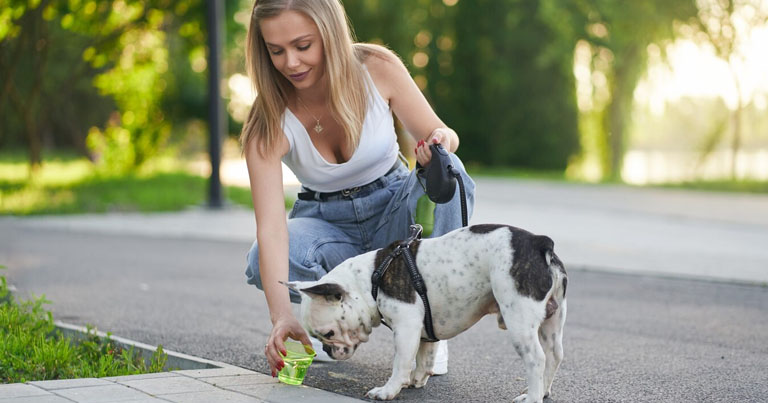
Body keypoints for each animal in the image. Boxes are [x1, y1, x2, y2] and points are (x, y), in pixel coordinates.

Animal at [284, 224, 568, 403]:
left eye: (328, 333)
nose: (328, 350)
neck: (370, 279)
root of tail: (539, 243)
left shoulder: (406, 326)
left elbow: (400, 362)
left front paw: (388, 390)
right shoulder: (423, 328)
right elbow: (424, 355)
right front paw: (416, 380)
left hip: (518, 319)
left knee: (536, 358)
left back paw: (531, 397)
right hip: (553, 321)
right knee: (554, 355)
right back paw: (542, 391)